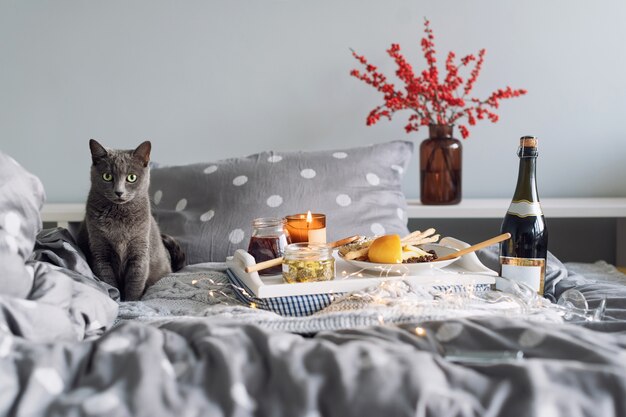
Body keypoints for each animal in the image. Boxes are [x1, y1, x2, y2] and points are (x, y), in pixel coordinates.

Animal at [77, 139, 184, 300]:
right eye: (107, 176)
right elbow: (108, 280)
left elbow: (135, 282)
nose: (119, 192)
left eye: (131, 177)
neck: (118, 216)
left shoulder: (139, 251)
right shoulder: (100, 251)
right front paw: (116, 299)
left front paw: (131, 301)